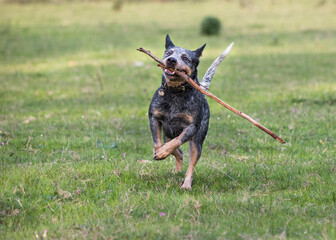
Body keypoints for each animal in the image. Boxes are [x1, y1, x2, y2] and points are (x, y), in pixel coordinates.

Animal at [148, 35, 209, 189]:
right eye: (169, 52)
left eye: (185, 58)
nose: (171, 60)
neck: (175, 92)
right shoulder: (154, 117)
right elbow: (158, 143)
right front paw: (159, 152)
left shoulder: (192, 127)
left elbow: (177, 141)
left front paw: (162, 153)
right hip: (168, 133)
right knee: (179, 153)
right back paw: (177, 171)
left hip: (197, 141)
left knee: (191, 163)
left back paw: (186, 184)